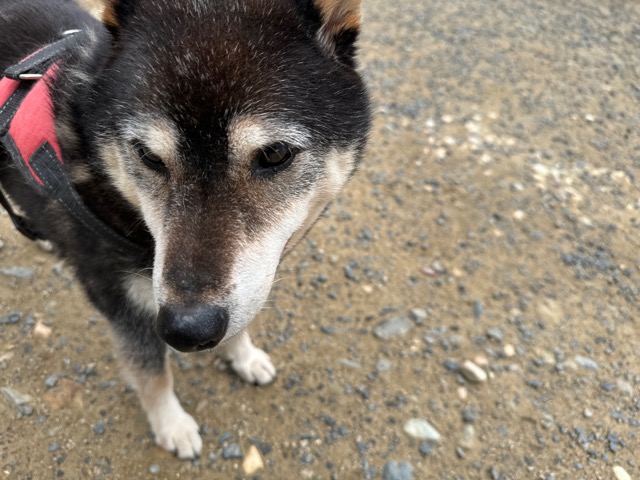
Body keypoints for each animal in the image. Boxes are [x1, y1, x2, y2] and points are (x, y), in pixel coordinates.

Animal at [0, 0, 370, 459]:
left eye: (275, 154)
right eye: (147, 155)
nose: (187, 329)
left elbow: (239, 320)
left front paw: (244, 357)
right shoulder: (126, 305)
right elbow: (152, 374)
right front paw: (172, 426)